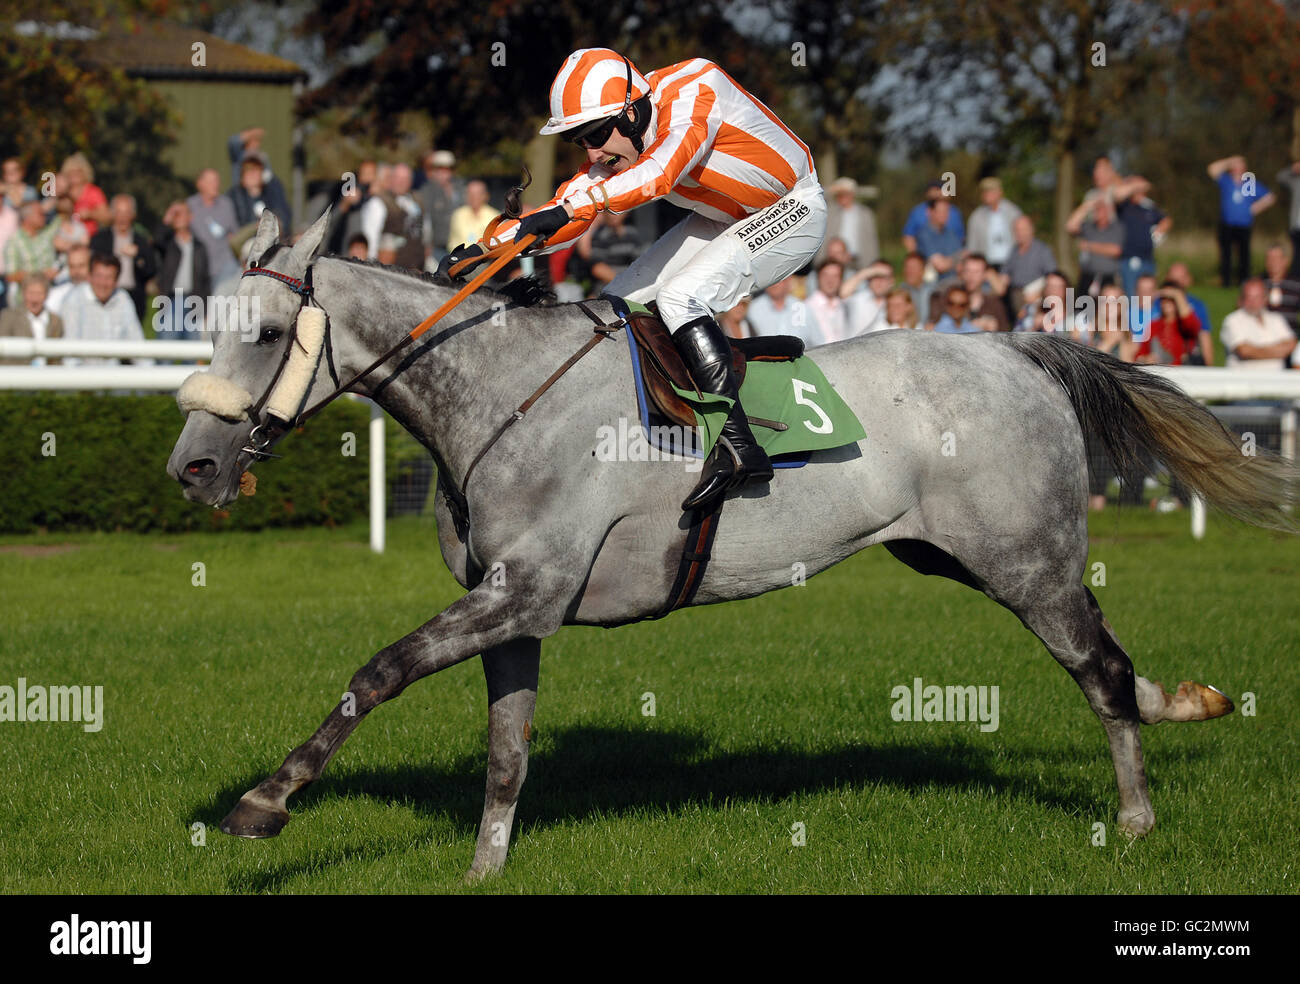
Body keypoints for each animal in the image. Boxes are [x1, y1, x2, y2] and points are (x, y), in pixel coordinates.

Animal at [170, 213, 1289, 873]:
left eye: (263, 335)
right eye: (207, 319)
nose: (192, 466)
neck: (498, 392)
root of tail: (1016, 345)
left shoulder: (526, 589)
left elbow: (380, 670)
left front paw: (265, 803)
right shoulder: (515, 607)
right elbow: (506, 753)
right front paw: (485, 868)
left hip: (1027, 562)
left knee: (1101, 670)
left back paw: (1136, 818)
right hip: (963, 555)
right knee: (1114, 658)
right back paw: (1186, 704)